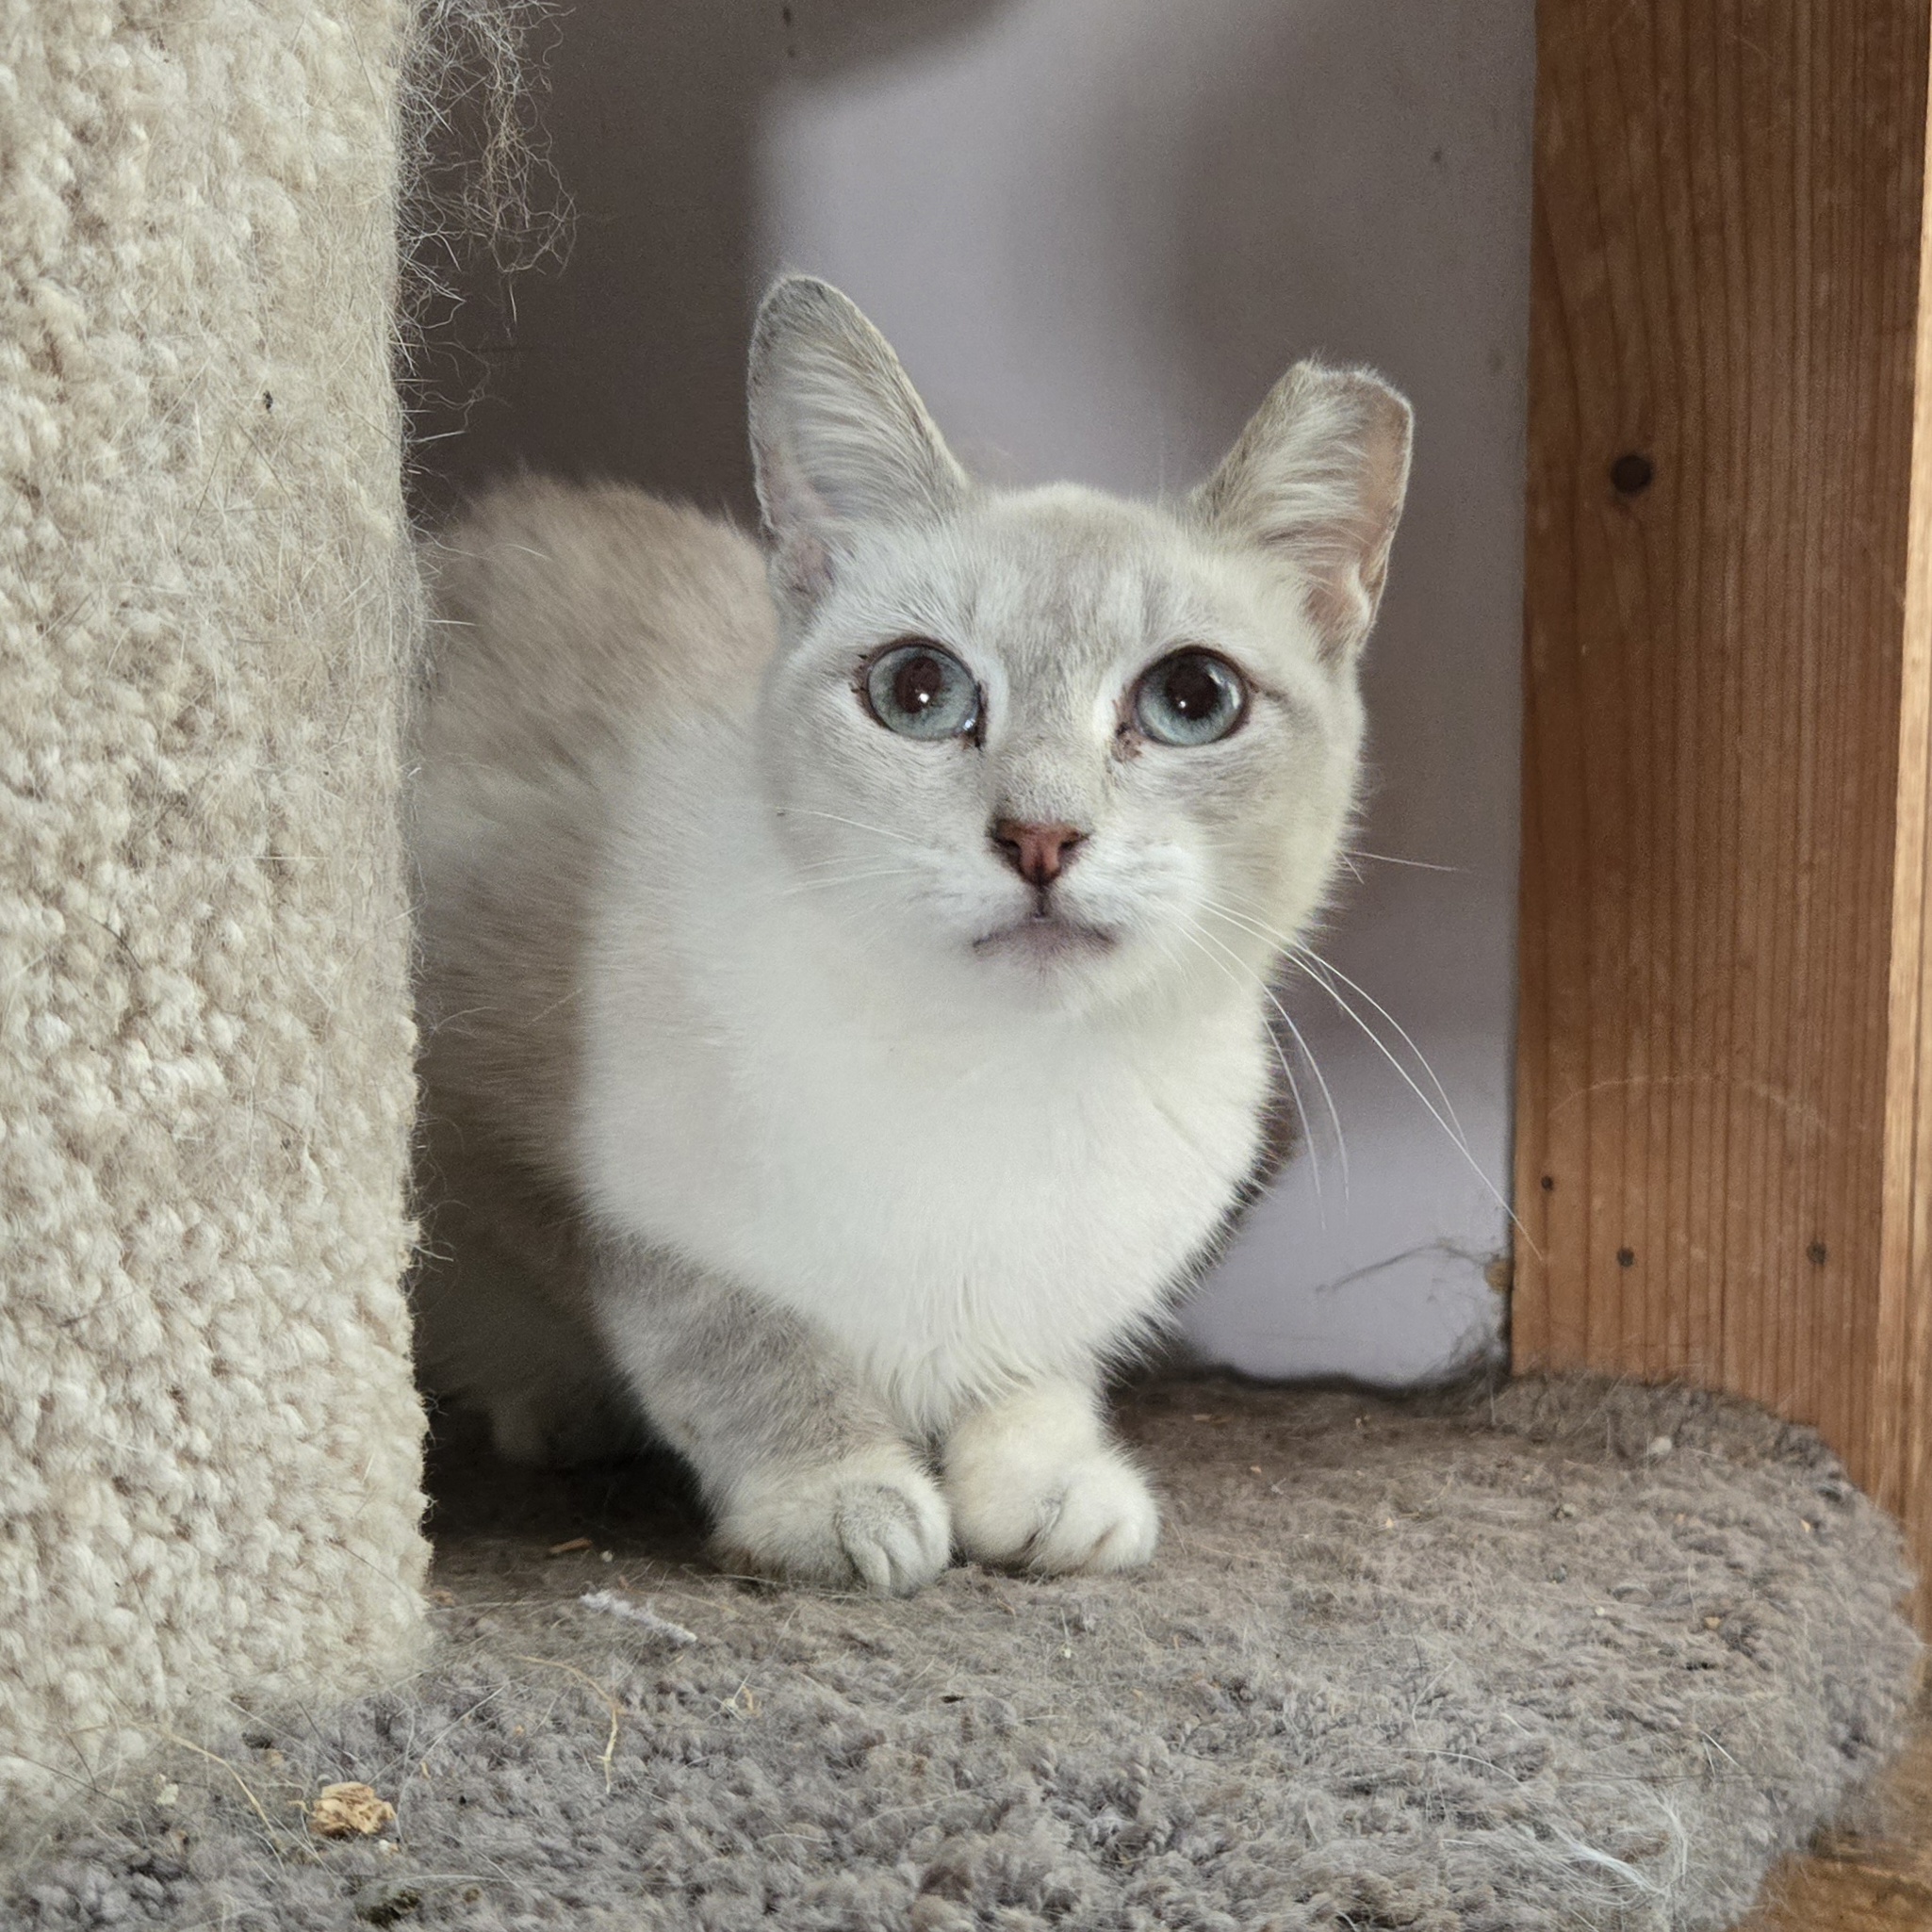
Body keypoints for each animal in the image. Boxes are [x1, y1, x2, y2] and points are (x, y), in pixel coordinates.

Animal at [409, 276, 1411, 1594]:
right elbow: (725, 1324)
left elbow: (1035, 1367)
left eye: (1191, 700)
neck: (1006, 1084)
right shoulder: (519, 1133)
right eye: (918, 692)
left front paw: (1047, 1485)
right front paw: (836, 1492)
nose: (1039, 836)